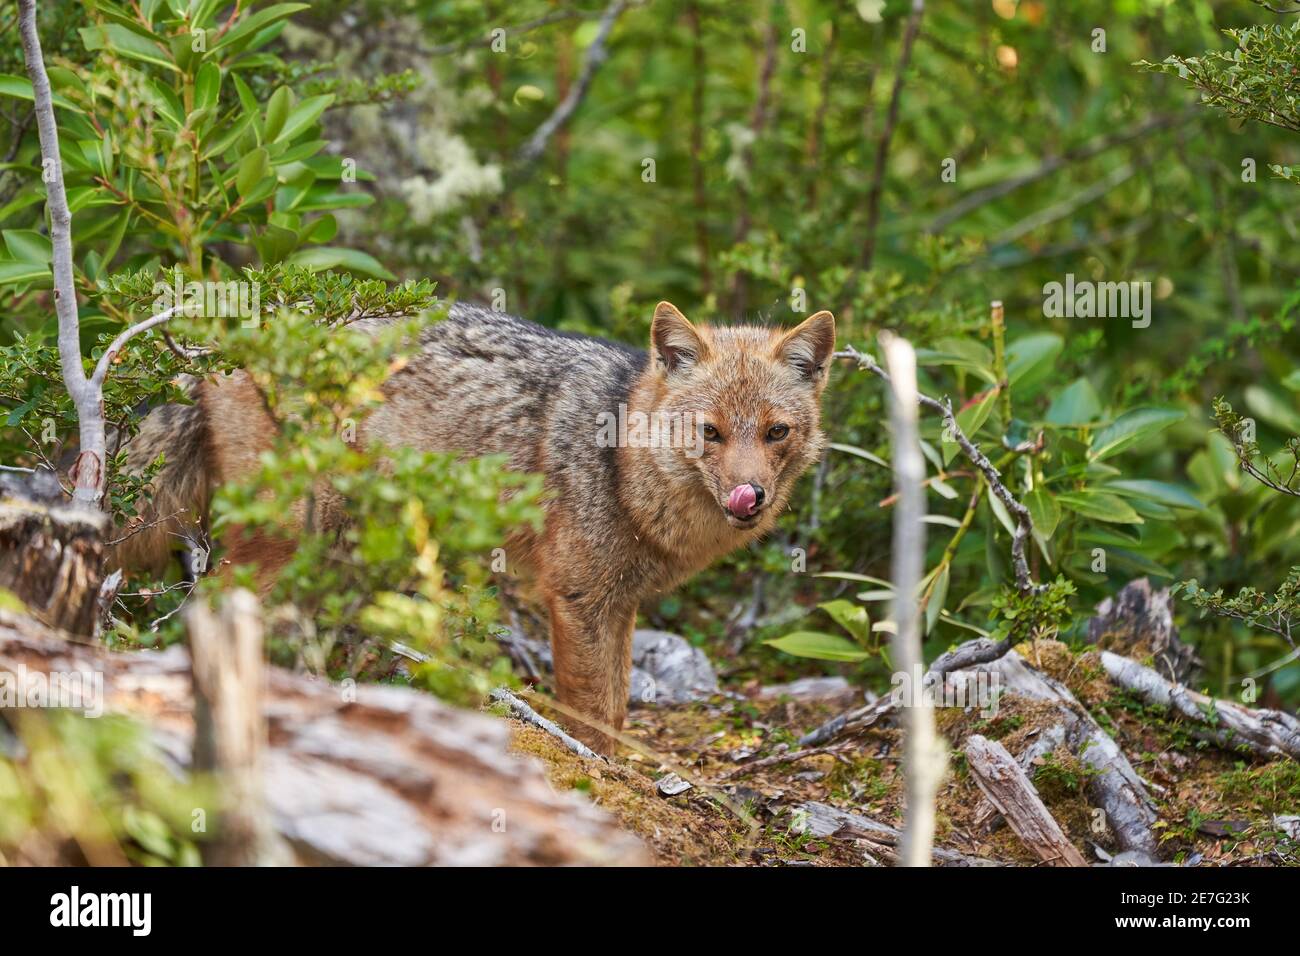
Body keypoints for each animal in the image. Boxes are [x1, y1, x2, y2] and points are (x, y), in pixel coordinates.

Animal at [114, 300, 836, 753]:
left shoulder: (620, 602)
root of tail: (228, 332)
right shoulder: (578, 597)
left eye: (775, 433)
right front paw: (598, 775)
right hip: (291, 541)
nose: (749, 497)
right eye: (709, 433)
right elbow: (592, 715)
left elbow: (618, 706)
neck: (622, 464)